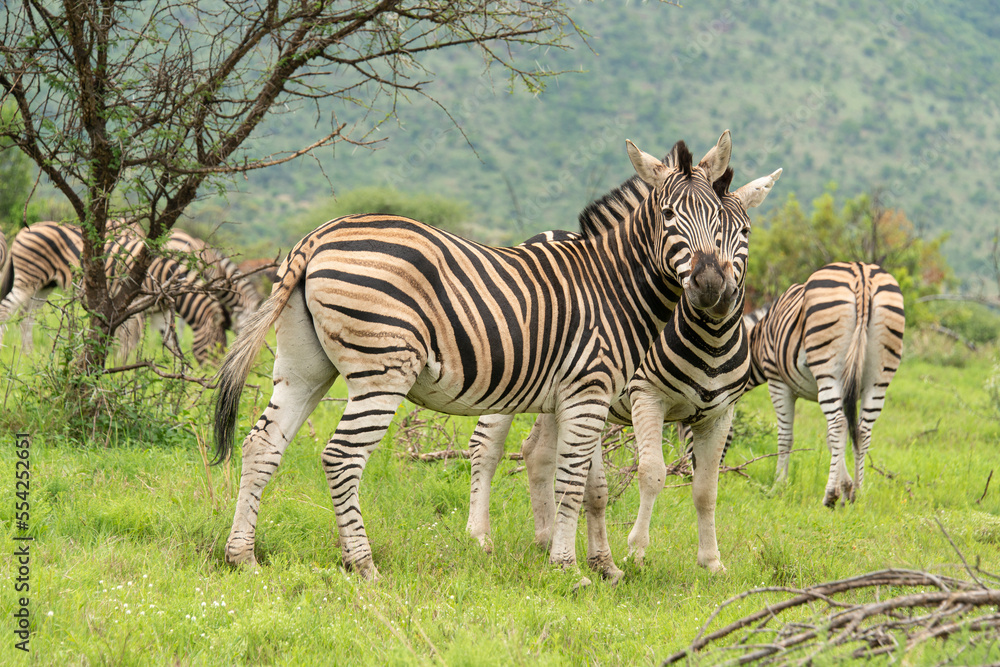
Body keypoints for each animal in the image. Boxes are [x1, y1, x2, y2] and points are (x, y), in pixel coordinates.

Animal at [0, 221, 227, 362]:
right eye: (216, 349)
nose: (212, 374)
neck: (166, 277)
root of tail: (24, 230)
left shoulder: (158, 311)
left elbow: (169, 340)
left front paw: (175, 376)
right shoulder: (135, 303)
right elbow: (130, 339)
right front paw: (119, 365)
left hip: (43, 285)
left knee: (26, 317)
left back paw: (28, 354)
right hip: (28, 279)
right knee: (6, 310)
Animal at [212, 133, 734, 582]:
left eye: (724, 223)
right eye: (668, 214)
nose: (710, 285)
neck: (612, 283)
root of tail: (316, 237)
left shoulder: (584, 395)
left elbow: (590, 485)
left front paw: (603, 567)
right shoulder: (589, 391)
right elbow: (570, 481)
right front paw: (568, 570)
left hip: (304, 368)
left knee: (261, 445)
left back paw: (242, 556)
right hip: (382, 370)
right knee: (342, 456)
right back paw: (362, 564)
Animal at [745, 262, 905, 507]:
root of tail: (862, 274)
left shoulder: (777, 381)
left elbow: (785, 437)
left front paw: (778, 485)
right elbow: (833, 439)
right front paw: (847, 487)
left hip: (828, 370)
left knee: (839, 423)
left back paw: (829, 495)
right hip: (878, 380)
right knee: (862, 431)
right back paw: (858, 493)